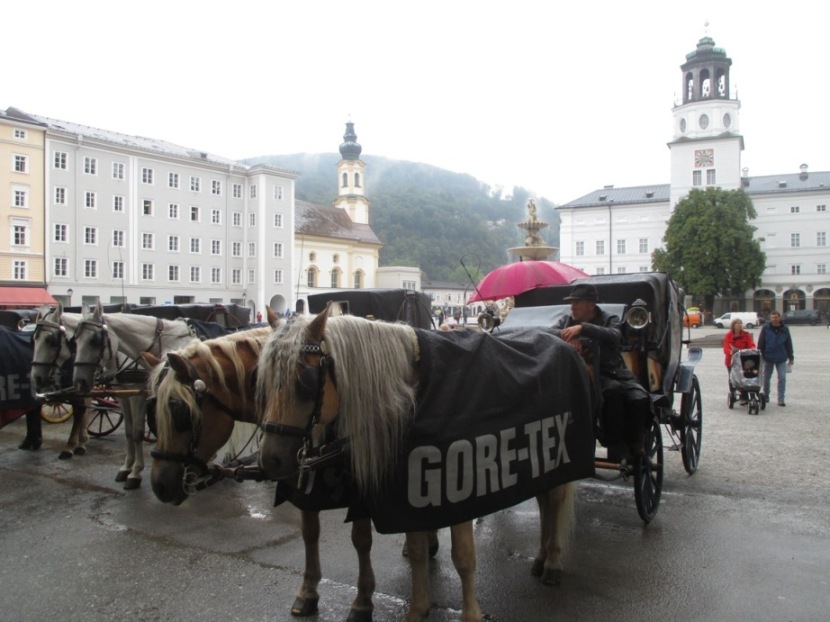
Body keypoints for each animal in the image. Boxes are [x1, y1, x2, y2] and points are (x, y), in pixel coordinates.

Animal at [30, 304, 90, 459]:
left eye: (50, 340)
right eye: (34, 339)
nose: (37, 377)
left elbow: (79, 412)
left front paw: (71, 445)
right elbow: (80, 411)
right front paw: (76, 444)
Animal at [72, 302, 196, 489]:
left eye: (95, 341)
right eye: (75, 340)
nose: (80, 381)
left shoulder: (139, 396)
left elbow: (137, 432)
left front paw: (136, 473)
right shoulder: (125, 396)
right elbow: (129, 432)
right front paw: (126, 467)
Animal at [145, 314, 377, 622]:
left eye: (179, 411)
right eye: (152, 413)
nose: (159, 484)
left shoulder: (362, 485)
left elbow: (361, 540)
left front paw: (362, 601)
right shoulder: (300, 481)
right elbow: (309, 533)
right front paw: (308, 592)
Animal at [256, 312, 596, 622]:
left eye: (303, 380)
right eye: (263, 380)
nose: (270, 460)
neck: (413, 396)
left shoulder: (457, 489)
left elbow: (463, 557)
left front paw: (471, 614)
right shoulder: (411, 495)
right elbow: (414, 549)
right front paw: (418, 609)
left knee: (555, 501)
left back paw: (552, 562)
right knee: (544, 503)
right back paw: (540, 557)